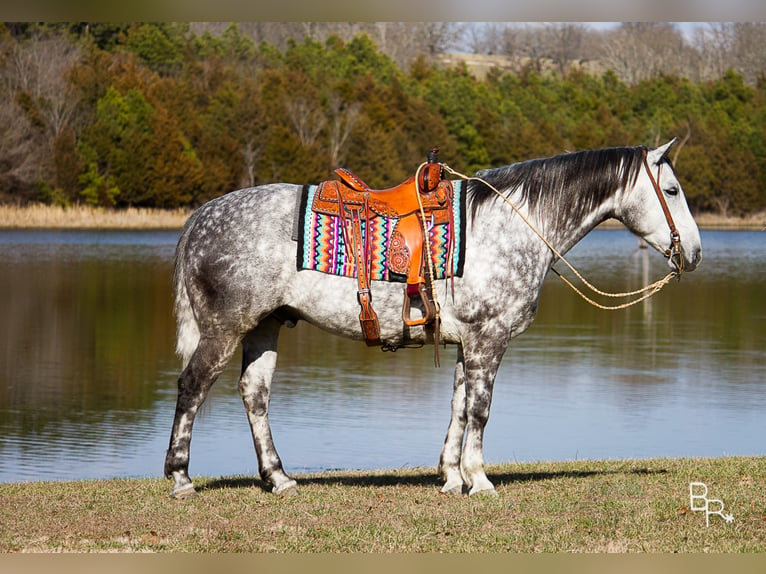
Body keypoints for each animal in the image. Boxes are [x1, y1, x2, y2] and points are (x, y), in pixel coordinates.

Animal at [165, 141, 704, 500]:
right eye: (672, 190)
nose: (696, 253)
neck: (513, 224)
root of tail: (200, 218)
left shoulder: (468, 342)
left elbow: (459, 408)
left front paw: (451, 476)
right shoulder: (490, 339)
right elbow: (480, 411)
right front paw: (480, 480)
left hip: (265, 326)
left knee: (254, 395)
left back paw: (278, 478)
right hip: (224, 329)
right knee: (192, 387)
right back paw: (181, 477)